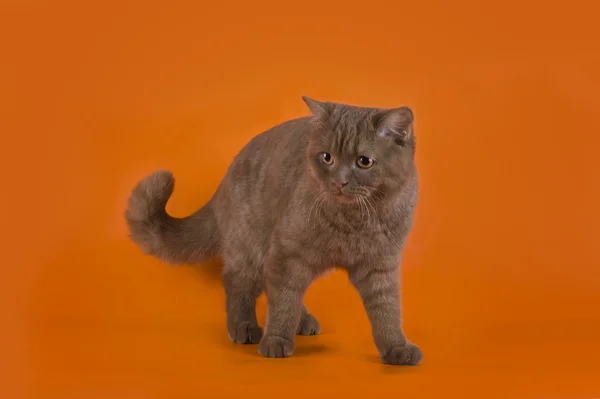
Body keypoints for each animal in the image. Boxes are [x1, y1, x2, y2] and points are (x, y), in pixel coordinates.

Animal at [123, 97, 422, 366]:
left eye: (364, 162)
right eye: (327, 158)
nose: (339, 181)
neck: (355, 220)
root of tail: (225, 180)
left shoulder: (380, 265)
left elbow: (387, 309)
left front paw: (396, 348)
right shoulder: (288, 251)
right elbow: (284, 300)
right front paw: (276, 340)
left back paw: (303, 321)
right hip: (250, 244)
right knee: (239, 284)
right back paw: (245, 328)